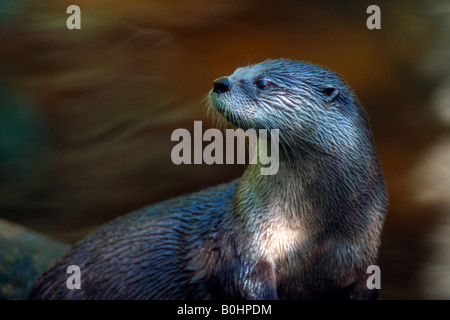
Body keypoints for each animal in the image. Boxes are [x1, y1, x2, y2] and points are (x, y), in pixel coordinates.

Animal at [27, 59, 386, 300]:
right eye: (239, 70)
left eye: (263, 82)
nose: (221, 82)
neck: (311, 229)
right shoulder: (246, 242)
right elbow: (244, 284)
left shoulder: (365, 257)